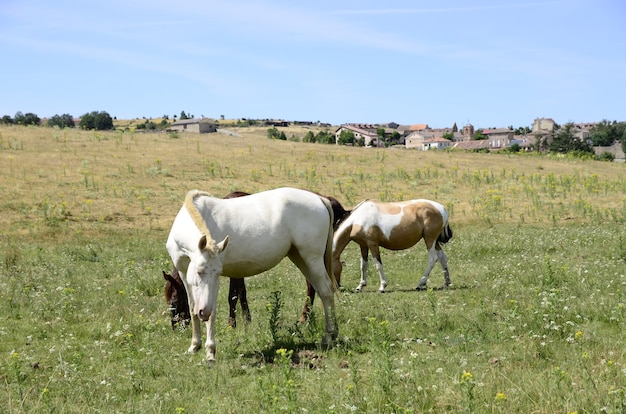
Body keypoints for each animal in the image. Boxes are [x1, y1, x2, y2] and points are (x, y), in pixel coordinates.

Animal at [165, 188, 336, 362]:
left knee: (326, 291)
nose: (203, 313)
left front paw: (210, 351)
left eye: (217, 273)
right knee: (318, 290)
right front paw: (194, 346)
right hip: (300, 257)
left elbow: (214, 310)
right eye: (199, 271)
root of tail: (319, 199)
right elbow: (193, 306)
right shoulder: (184, 273)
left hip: (312, 258)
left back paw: (329, 336)